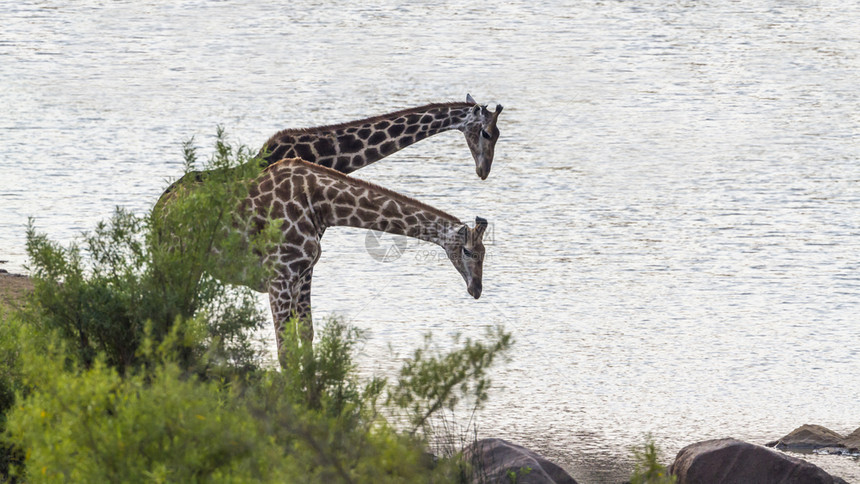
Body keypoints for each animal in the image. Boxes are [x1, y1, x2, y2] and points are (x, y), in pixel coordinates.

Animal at [232, 159, 490, 352]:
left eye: (485, 252)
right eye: (468, 251)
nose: (476, 289)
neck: (320, 205)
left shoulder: (300, 276)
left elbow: (305, 337)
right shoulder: (279, 277)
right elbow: (285, 351)